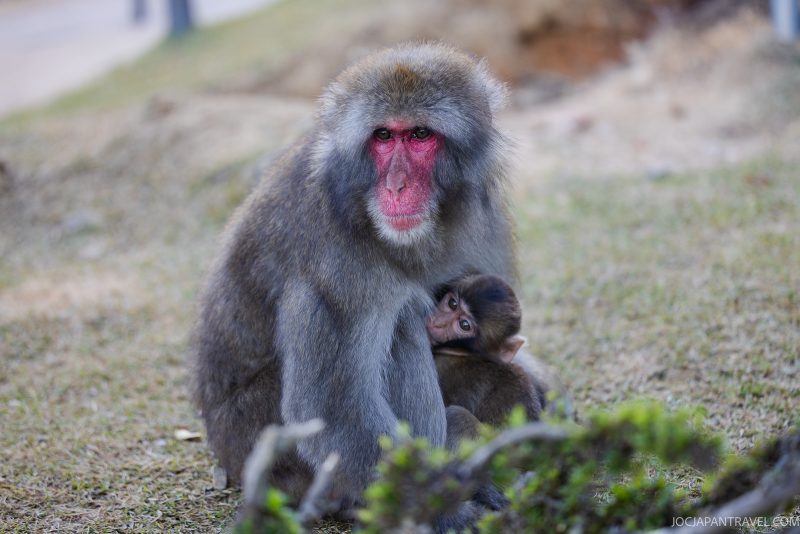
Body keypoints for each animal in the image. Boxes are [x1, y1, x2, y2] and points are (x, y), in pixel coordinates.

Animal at [192, 43, 515, 529]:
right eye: (383, 136)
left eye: (420, 134)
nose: (396, 186)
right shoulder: (336, 264)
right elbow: (335, 415)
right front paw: (448, 511)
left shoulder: (483, 213)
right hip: (271, 450)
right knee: (402, 323)